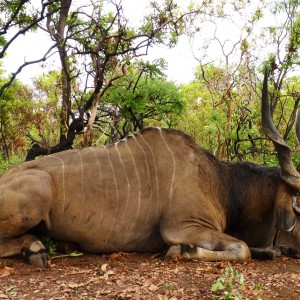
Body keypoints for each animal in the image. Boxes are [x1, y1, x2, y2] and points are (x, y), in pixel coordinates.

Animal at [0, 72, 300, 268]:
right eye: (297, 208)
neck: (220, 182)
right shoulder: (182, 227)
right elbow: (242, 248)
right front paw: (182, 252)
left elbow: (259, 249)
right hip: (35, 196)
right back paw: (34, 250)